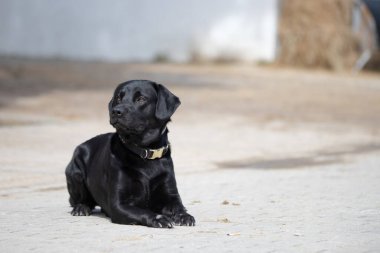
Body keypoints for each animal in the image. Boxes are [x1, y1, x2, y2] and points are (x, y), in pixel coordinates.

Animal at [65, 80, 194, 228]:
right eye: (118, 98)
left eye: (141, 99)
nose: (116, 111)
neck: (144, 153)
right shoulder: (118, 204)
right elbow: (142, 212)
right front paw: (158, 218)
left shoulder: (171, 195)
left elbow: (179, 207)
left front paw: (184, 216)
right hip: (76, 171)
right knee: (77, 201)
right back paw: (81, 207)